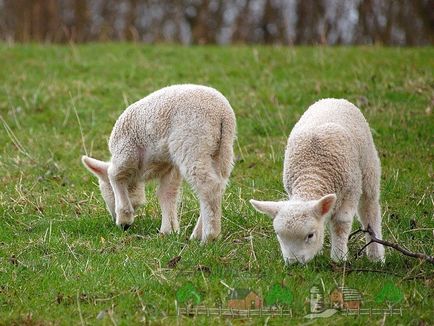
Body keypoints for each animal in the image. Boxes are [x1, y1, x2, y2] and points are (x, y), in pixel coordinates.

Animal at [81, 83, 237, 243]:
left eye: (106, 192)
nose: (115, 221)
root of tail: (221, 114)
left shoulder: (126, 152)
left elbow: (114, 175)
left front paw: (124, 218)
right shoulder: (170, 166)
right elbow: (166, 193)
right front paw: (168, 231)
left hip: (193, 141)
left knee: (208, 186)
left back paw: (208, 236)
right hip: (222, 148)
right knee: (219, 185)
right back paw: (197, 234)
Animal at [249, 99, 384, 264]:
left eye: (310, 235)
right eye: (278, 235)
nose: (293, 263)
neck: (312, 173)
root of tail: (334, 99)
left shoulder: (350, 190)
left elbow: (341, 224)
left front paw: (339, 257)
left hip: (369, 167)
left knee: (369, 208)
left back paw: (376, 255)